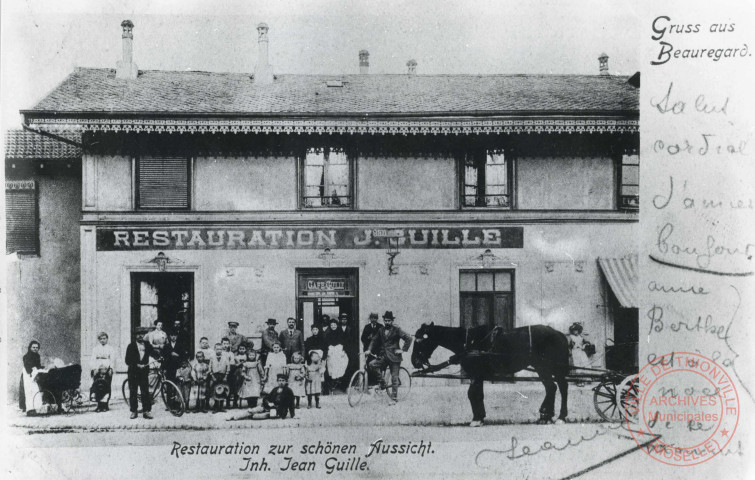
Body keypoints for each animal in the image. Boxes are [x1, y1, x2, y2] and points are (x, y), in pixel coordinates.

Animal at [410, 324, 568, 426]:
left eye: (419, 341)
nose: (414, 361)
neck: (470, 342)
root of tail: (558, 333)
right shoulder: (477, 375)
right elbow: (478, 394)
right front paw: (480, 416)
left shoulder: (476, 374)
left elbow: (472, 394)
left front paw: (476, 419)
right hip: (547, 369)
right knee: (555, 387)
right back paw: (549, 416)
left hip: (545, 367)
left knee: (556, 387)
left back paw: (555, 416)